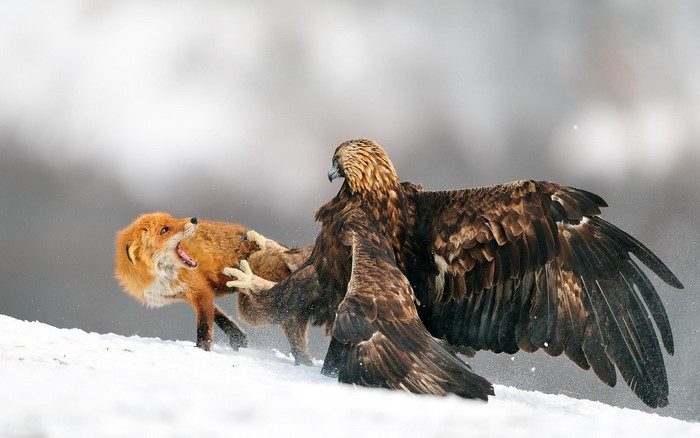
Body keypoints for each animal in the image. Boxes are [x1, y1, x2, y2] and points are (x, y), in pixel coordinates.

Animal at [114, 212, 313, 362]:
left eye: (173, 219)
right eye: (165, 229)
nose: (194, 219)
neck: (161, 276)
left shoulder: (200, 290)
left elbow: (204, 327)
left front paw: (202, 351)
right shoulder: (193, 293)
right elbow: (221, 318)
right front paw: (238, 339)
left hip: (249, 309)